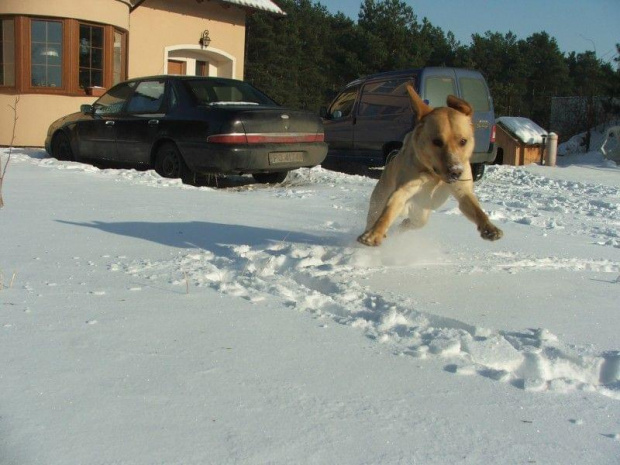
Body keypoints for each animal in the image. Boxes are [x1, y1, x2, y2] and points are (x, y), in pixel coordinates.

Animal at [358, 84, 504, 246]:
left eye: (463, 141)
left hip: (420, 215)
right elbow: (387, 212)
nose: (456, 172)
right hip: (380, 202)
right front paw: (374, 234)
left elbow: (477, 210)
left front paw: (489, 228)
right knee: (376, 216)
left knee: (409, 223)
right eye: (437, 142)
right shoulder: (404, 189)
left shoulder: (463, 191)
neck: (435, 176)